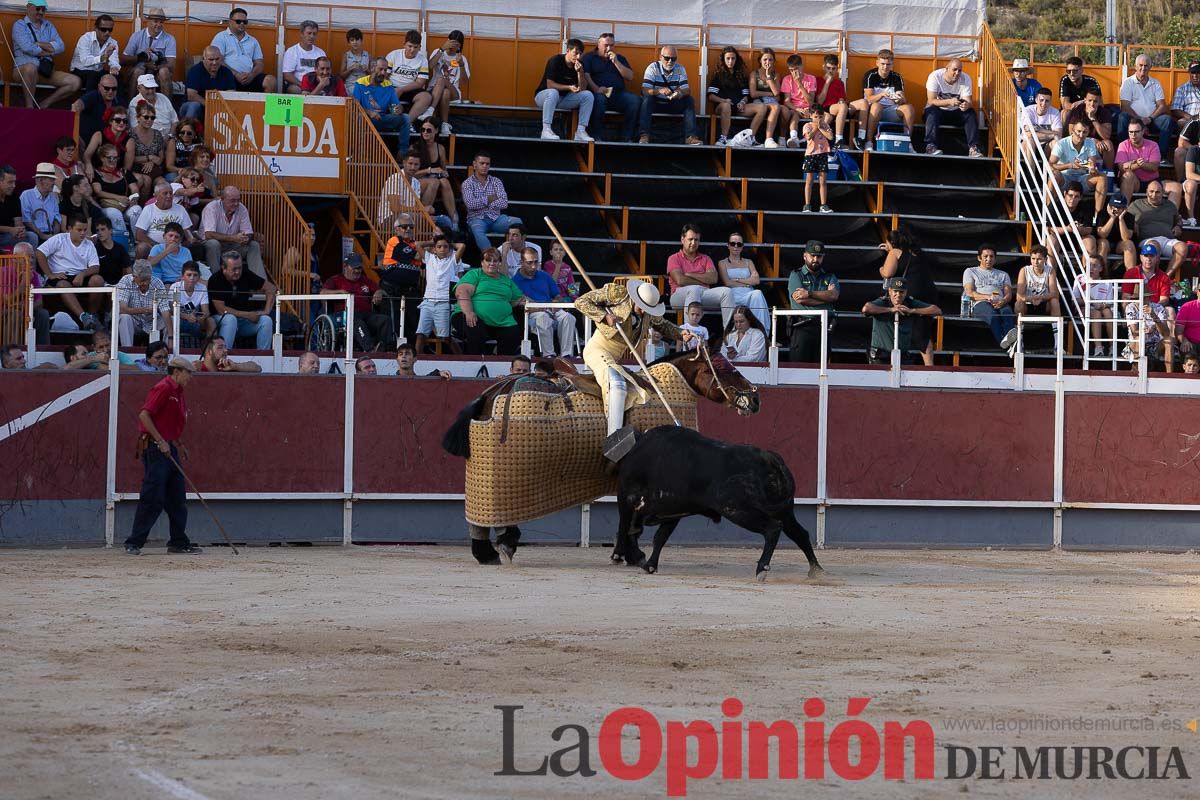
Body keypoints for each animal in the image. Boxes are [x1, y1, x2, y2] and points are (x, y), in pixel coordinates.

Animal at [609, 429, 825, 578]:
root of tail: (767, 457)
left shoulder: (626, 498)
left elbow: (626, 528)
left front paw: (628, 556)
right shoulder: (673, 511)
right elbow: (658, 537)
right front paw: (649, 564)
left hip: (738, 510)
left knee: (772, 528)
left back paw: (762, 568)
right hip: (784, 511)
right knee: (800, 534)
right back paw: (817, 570)